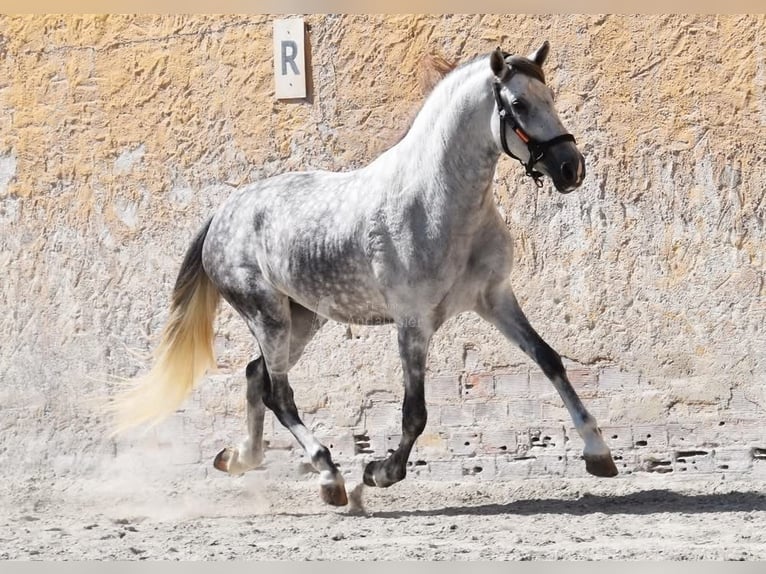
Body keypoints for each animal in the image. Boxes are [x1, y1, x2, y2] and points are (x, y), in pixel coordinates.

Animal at [113, 41, 618, 507]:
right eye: (519, 104)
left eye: (549, 96)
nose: (571, 168)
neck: (438, 204)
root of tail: (224, 213)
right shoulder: (413, 322)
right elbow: (415, 413)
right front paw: (378, 473)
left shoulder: (495, 299)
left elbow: (550, 360)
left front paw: (598, 453)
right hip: (267, 316)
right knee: (280, 395)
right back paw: (330, 477)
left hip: (303, 318)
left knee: (257, 377)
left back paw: (240, 458)